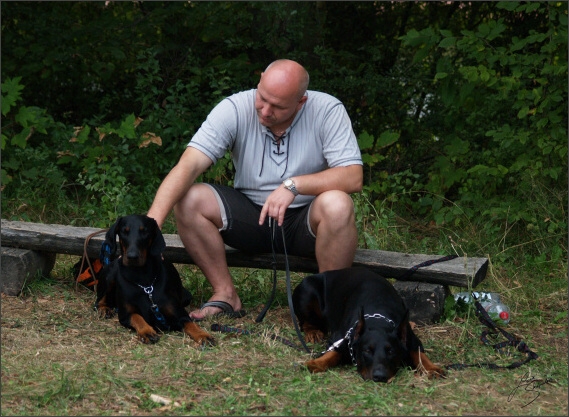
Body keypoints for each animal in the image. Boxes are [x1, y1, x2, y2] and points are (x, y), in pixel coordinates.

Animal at [96, 214, 215, 344]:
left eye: (144, 231)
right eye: (124, 231)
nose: (132, 257)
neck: (143, 280)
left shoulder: (179, 314)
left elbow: (191, 324)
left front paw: (203, 335)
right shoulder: (125, 315)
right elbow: (137, 317)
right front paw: (147, 331)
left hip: (186, 296)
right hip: (110, 276)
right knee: (98, 301)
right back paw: (104, 309)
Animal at [292, 266, 444, 380]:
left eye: (391, 351)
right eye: (367, 350)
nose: (380, 377)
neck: (378, 319)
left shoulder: (410, 338)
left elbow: (419, 354)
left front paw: (432, 368)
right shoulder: (342, 337)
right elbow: (333, 353)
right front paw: (316, 363)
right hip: (307, 289)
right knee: (305, 322)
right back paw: (313, 332)